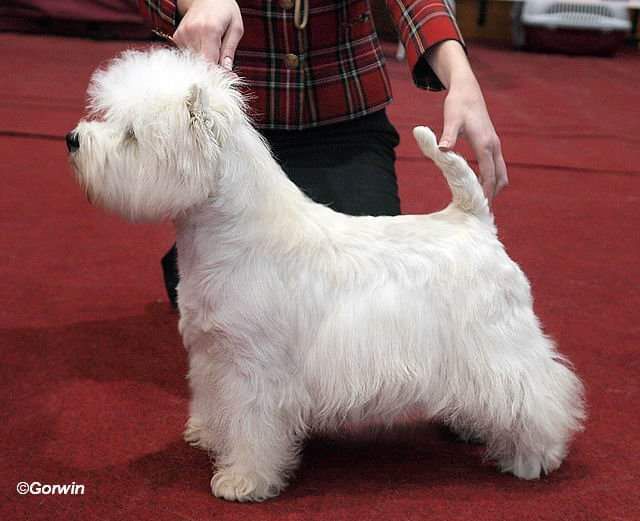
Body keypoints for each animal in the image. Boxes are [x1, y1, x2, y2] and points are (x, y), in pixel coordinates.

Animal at [69, 47, 584, 500]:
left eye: (132, 135)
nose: (73, 140)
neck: (229, 233)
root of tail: (472, 219)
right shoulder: (211, 351)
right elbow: (217, 403)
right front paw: (211, 436)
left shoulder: (256, 367)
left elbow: (253, 426)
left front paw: (243, 480)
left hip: (497, 344)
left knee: (539, 392)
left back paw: (532, 457)